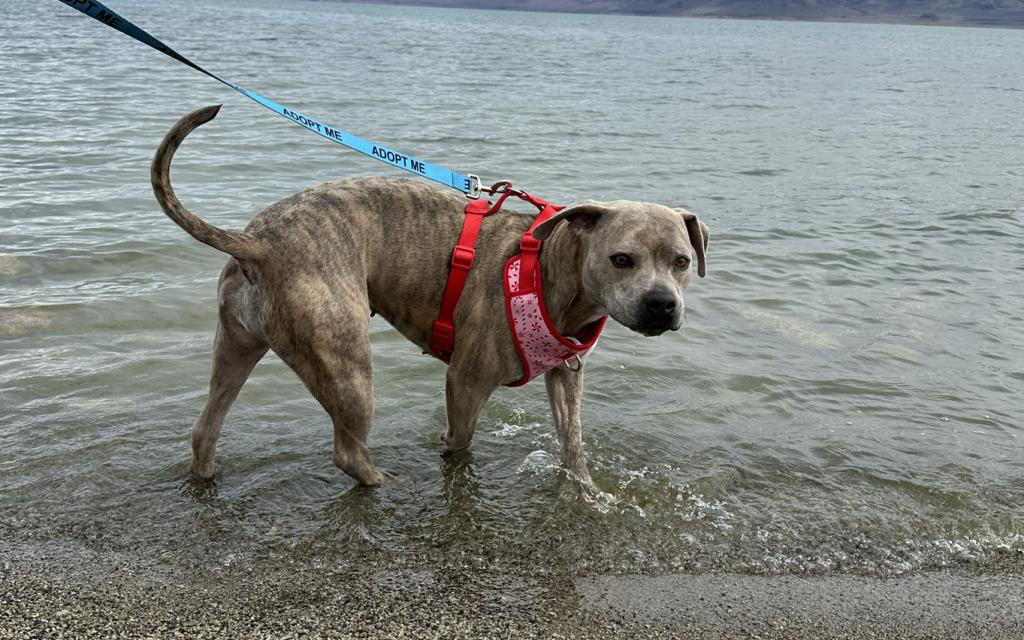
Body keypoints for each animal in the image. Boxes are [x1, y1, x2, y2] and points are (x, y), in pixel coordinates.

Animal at [151, 107, 708, 491]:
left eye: (681, 261)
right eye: (622, 259)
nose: (662, 304)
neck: (551, 270)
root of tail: (258, 243)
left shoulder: (565, 378)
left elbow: (572, 445)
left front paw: (587, 492)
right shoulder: (466, 381)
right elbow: (460, 441)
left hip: (237, 346)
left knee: (206, 427)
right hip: (347, 364)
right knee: (347, 450)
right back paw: (383, 483)